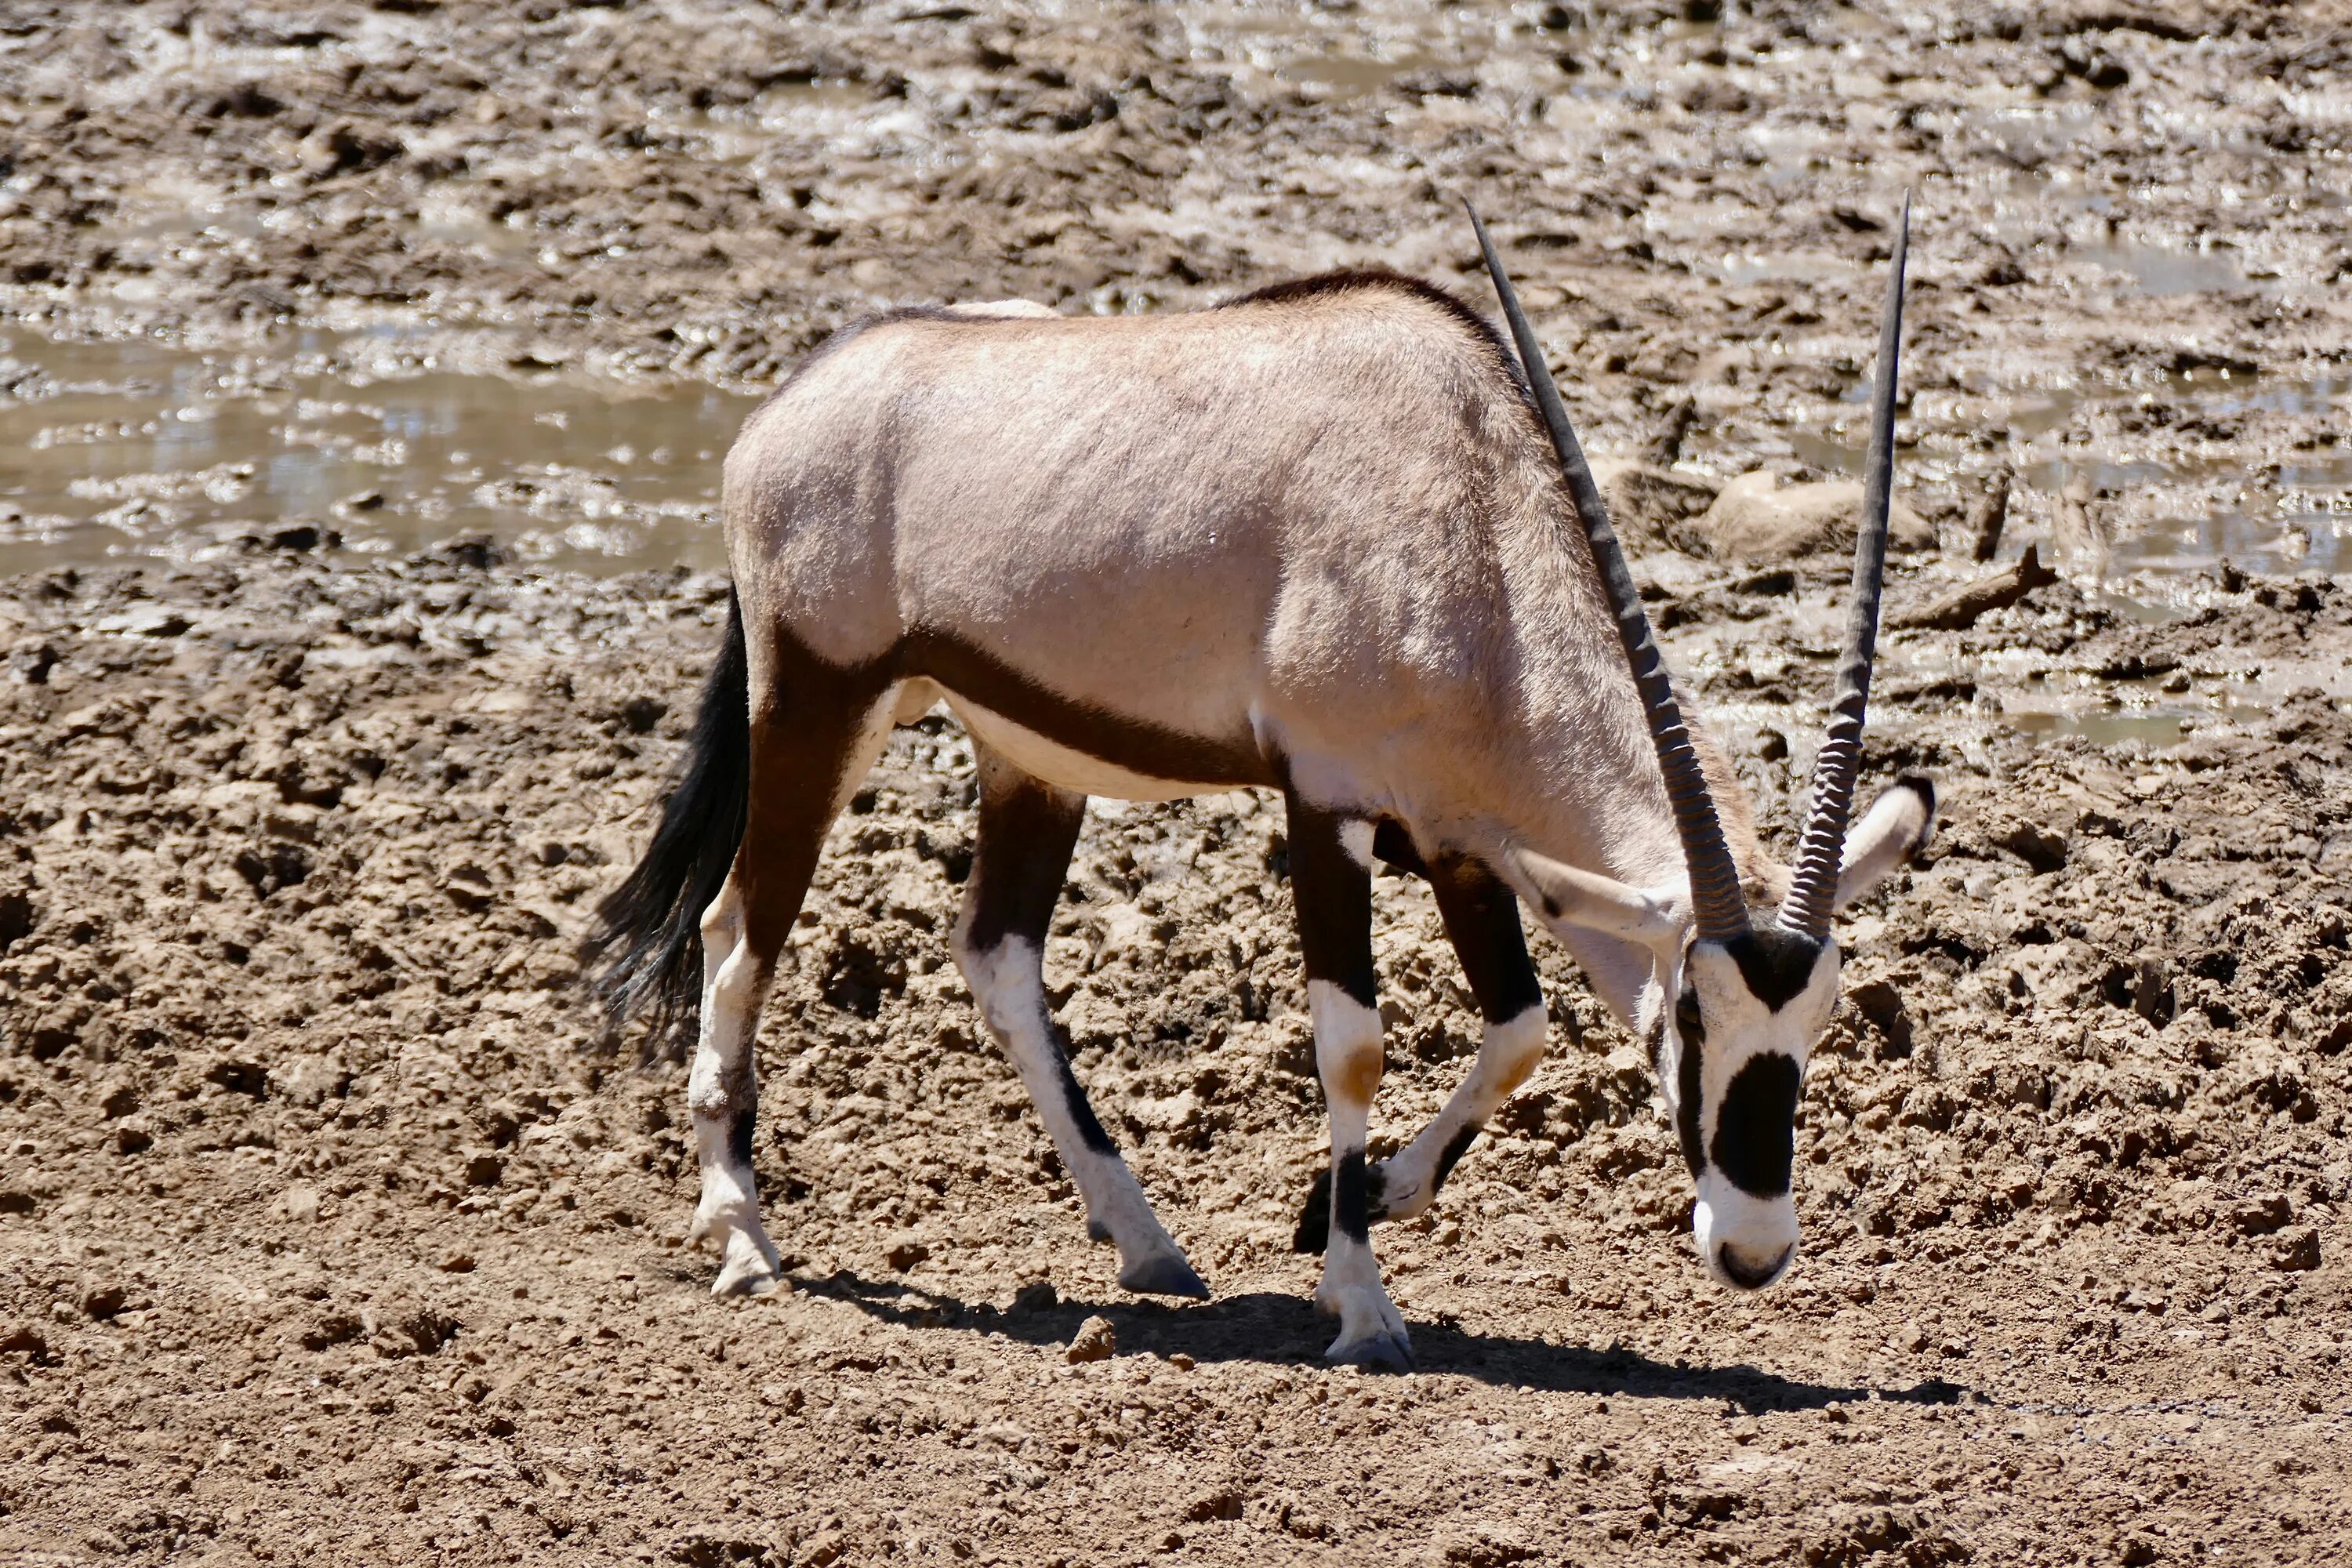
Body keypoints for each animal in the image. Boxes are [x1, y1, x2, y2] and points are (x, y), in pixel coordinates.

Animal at [588, 201, 1929, 1363]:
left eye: (1820, 1020)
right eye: (1692, 1015)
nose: (1753, 1250)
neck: (1473, 519)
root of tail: (798, 400)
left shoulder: (1458, 837)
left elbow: (1521, 1030)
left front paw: (1368, 1199)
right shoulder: (1326, 801)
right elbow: (1354, 1046)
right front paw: (1362, 1303)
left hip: (1027, 755)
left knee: (996, 953)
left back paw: (1144, 1241)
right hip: (817, 704)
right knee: (739, 929)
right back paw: (744, 1233)